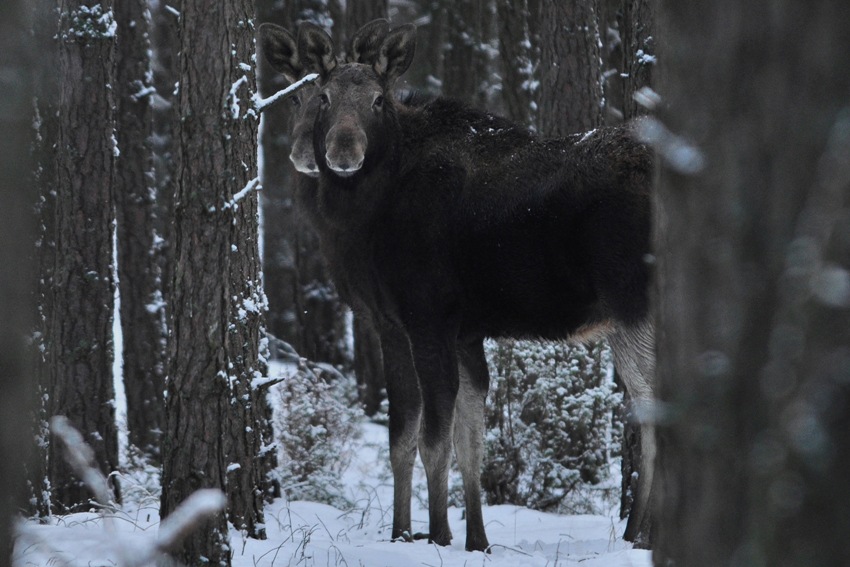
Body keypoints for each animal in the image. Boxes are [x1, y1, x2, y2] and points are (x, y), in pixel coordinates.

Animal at [258, 21, 656, 552]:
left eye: (378, 100)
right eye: (319, 96)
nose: (341, 151)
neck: (357, 224)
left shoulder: (429, 318)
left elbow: (434, 441)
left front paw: (439, 535)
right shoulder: (408, 326)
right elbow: (434, 441)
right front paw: (431, 535)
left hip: (638, 307)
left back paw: (646, 538)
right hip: (623, 321)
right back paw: (635, 535)